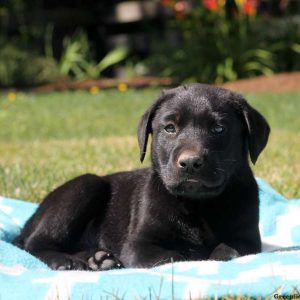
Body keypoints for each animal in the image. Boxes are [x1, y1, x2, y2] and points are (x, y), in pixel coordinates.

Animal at [14, 84, 270, 270]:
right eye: (169, 128)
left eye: (219, 129)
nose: (190, 162)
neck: (197, 204)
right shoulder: (139, 246)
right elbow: (176, 257)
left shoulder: (247, 239)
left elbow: (228, 251)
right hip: (87, 185)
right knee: (36, 244)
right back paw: (66, 261)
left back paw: (98, 259)